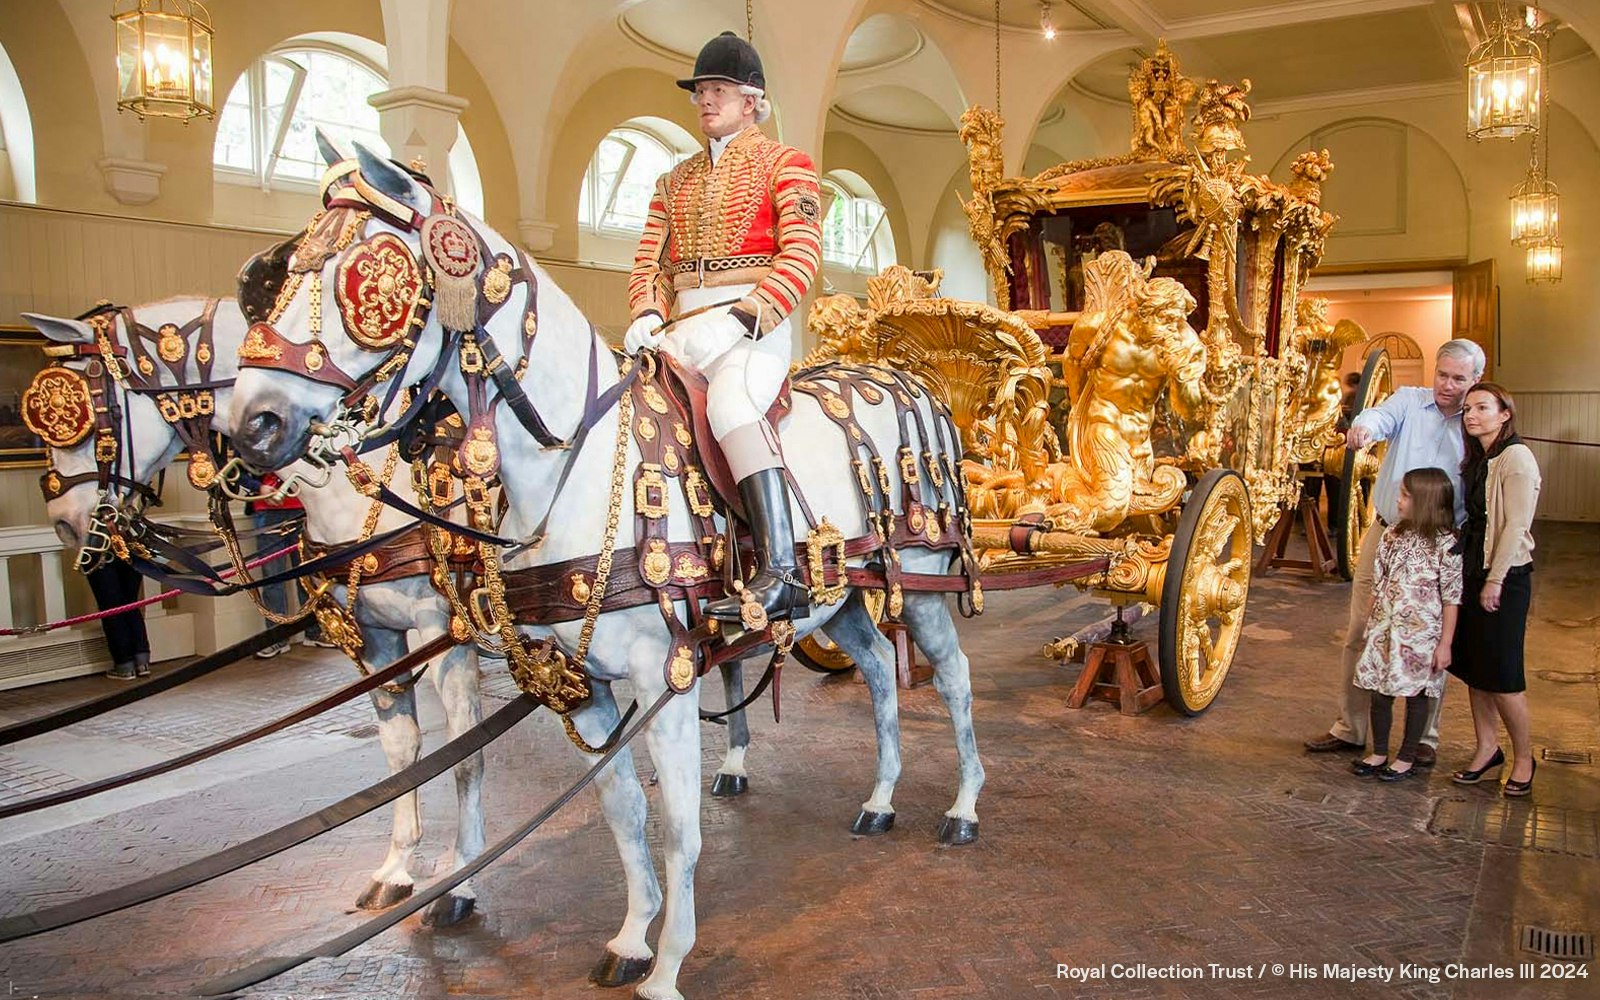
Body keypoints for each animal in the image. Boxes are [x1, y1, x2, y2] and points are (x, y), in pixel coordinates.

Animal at [25, 296, 488, 927]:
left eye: (84, 416)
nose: (66, 525)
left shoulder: (446, 629)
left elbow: (465, 754)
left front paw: (462, 878)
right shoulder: (373, 636)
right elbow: (402, 752)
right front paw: (395, 869)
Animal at [226, 141, 984, 1000]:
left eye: (364, 273)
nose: (253, 424)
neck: (575, 468)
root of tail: (902, 378)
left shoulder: (655, 677)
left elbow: (676, 827)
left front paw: (669, 964)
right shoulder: (567, 680)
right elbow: (620, 810)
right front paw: (631, 936)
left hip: (920, 582)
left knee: (953, 678)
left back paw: (962, 808)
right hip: (844, 598)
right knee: (883, 674)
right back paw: (881, 798)